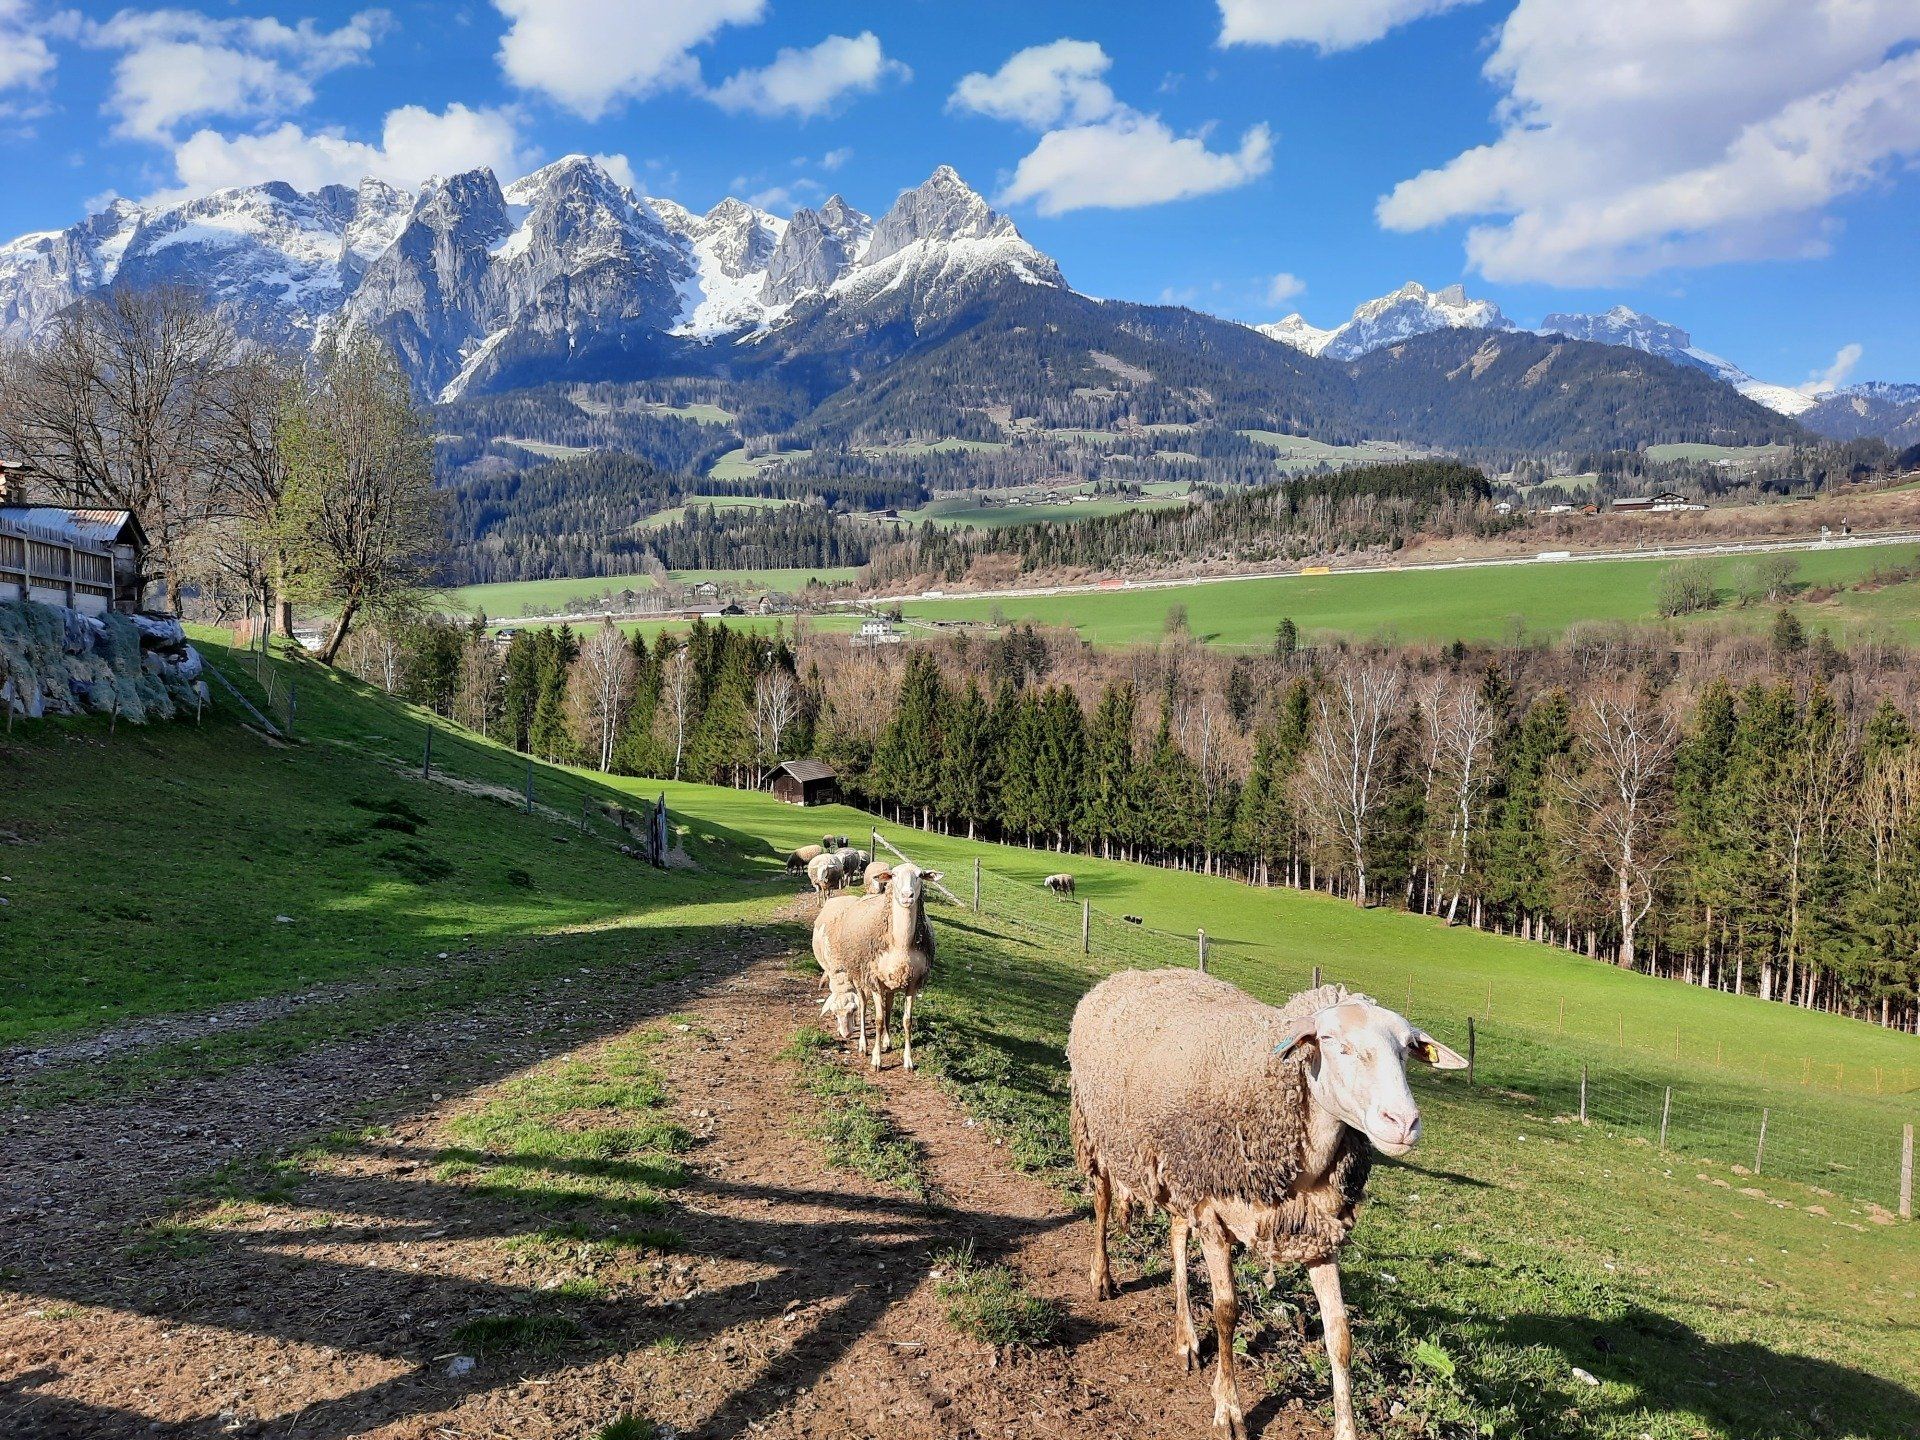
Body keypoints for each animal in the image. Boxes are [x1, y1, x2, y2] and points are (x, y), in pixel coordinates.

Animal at [809, 861, 942, 1070]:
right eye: (894, 875)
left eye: (920, 875)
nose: (907, 896)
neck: (901, 944)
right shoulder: (876, 982)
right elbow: (878, 1020)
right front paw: (876, 1059)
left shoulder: (912, 982)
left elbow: (907, 1021)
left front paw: (908, 1060)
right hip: (860, 976)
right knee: (864, 1005)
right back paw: (863, 1044)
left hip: (892, 982)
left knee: (888, 1007)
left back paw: (887, 1041)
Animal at [1067, 971, 1467, 1440]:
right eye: (1332, 1041)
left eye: (1406, 1049)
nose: (1403, 1123)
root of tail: (1127, 975)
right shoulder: (1215, 1216)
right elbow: (1226, 1311)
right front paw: (1228, 1409)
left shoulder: (1317, 1231)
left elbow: (1339, 1334)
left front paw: (1346, 1428)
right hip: (1094, 1129)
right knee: (1101, 1201)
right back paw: (1102, 1277)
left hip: (1178, 1171)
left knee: (1177, 1234)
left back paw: (1186, 1337)